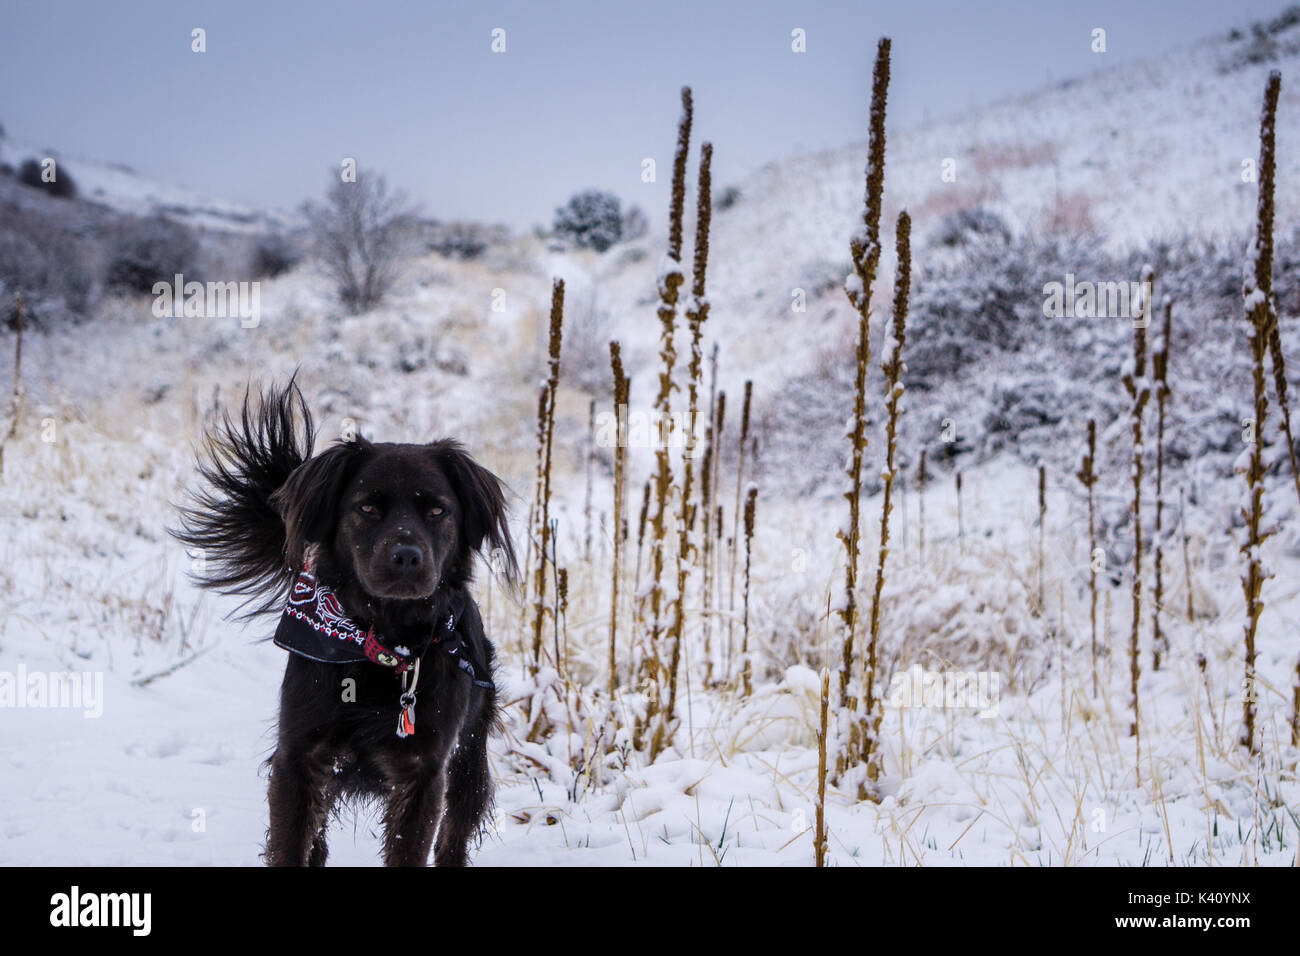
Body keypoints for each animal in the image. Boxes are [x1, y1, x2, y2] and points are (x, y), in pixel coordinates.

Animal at [174, 382, 517, 868]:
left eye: (437, 511)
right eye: (368, 507)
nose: (407, 557)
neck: (382, 644)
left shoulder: (424, 771)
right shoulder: (299, 756)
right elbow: (291, 844)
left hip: (469, 761)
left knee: (455, 835)